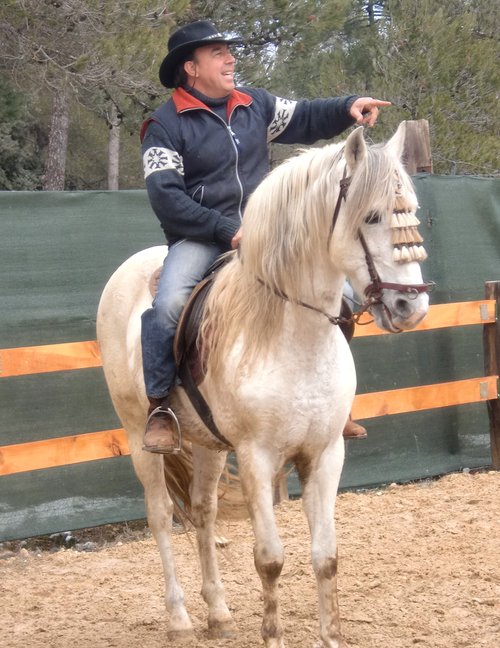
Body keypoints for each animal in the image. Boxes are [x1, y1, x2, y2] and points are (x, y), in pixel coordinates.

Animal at [96, 124, 430, 644]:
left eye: (410, 211)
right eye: (372, 216)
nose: (410, 306)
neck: (289, 332)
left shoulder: (325, 453)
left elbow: (326, 557)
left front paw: (331, 636)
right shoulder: (258, 457)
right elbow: (270, 560)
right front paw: (272, 634)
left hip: (209, 447)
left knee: (203, 512)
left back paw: (219, 614)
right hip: (138, 437)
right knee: (161, 517)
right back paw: (179, 620)